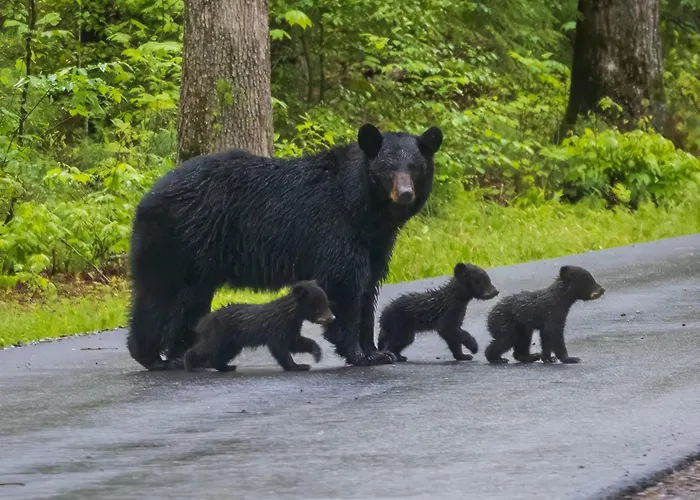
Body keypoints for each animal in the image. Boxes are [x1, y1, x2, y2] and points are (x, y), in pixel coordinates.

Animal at [183, 281, 335, 372]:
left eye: (327, 303)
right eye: (319, 307)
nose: (331, 318)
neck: (291, 313)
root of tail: (203, 322)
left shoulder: (292, 327)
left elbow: (296, 342)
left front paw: (317, 354)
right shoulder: (278, 326)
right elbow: (279, 347)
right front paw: (298, 366)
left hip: (232, 341)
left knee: (222, 354)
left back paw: (226, 366)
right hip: (218, 333)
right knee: (206, 348)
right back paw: (190, 364)